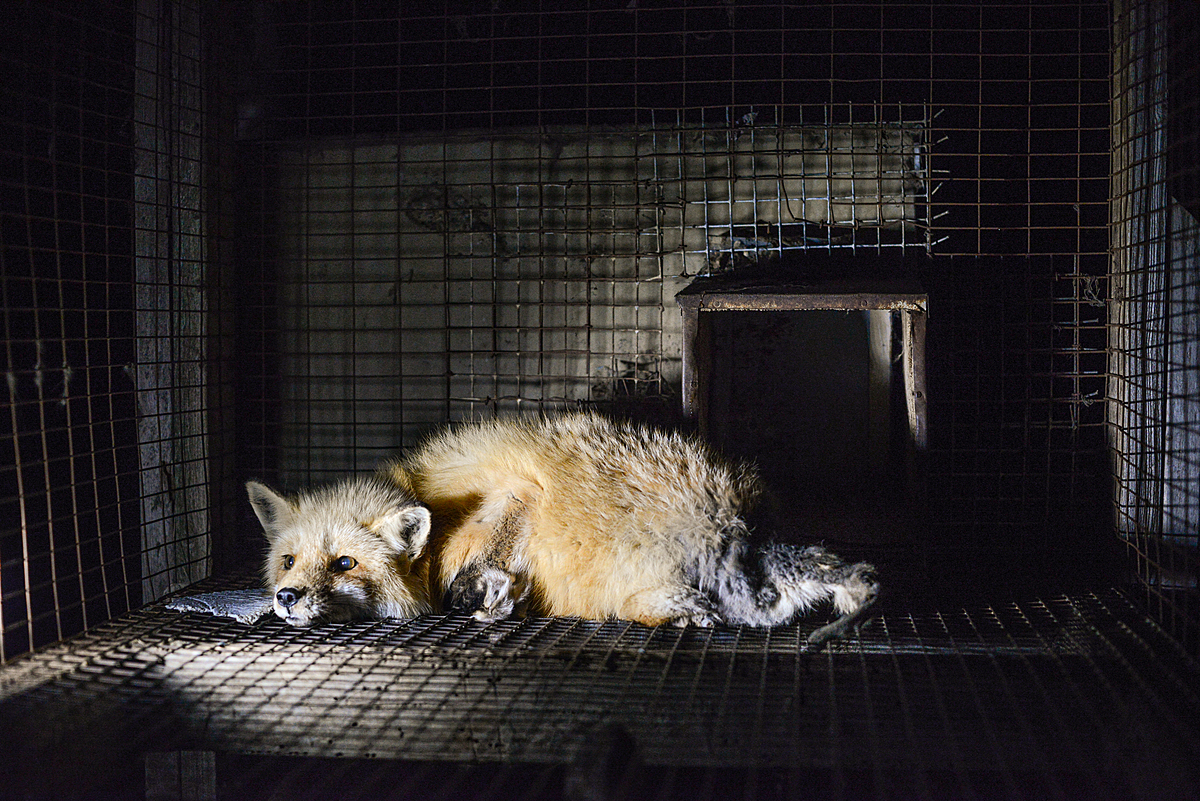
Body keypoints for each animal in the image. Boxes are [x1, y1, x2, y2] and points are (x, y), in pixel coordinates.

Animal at [246, 412, 883, 642]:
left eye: (343, 563)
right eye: (288, 561)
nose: (286, 597)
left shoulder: (517, 492)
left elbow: (482, 568)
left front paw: (488, 598)